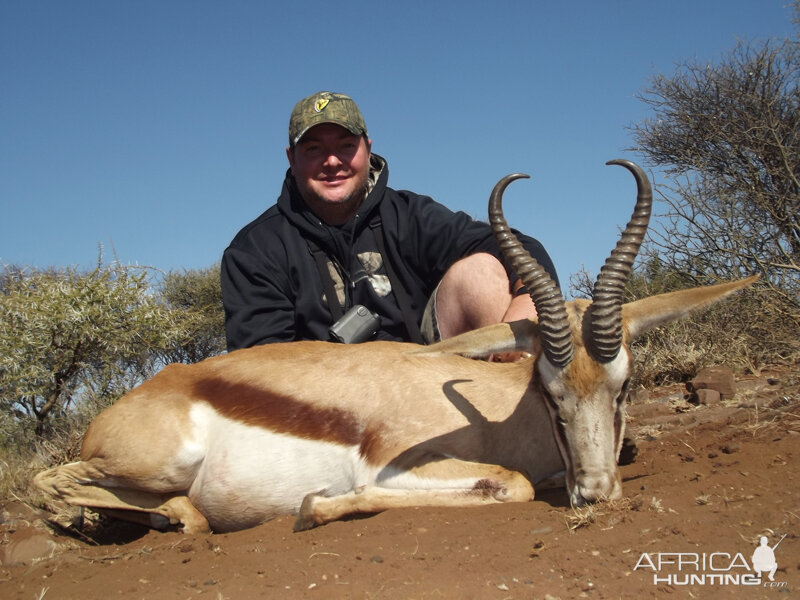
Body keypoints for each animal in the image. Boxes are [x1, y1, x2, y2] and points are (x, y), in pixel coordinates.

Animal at [32, 161, 756, 536]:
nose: (597, 493)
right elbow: (512, 483)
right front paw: (315, 507)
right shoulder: (391, 468)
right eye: (549, 392)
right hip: (156, 463)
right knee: (48, 482)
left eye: (623, 386)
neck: (497, 413)